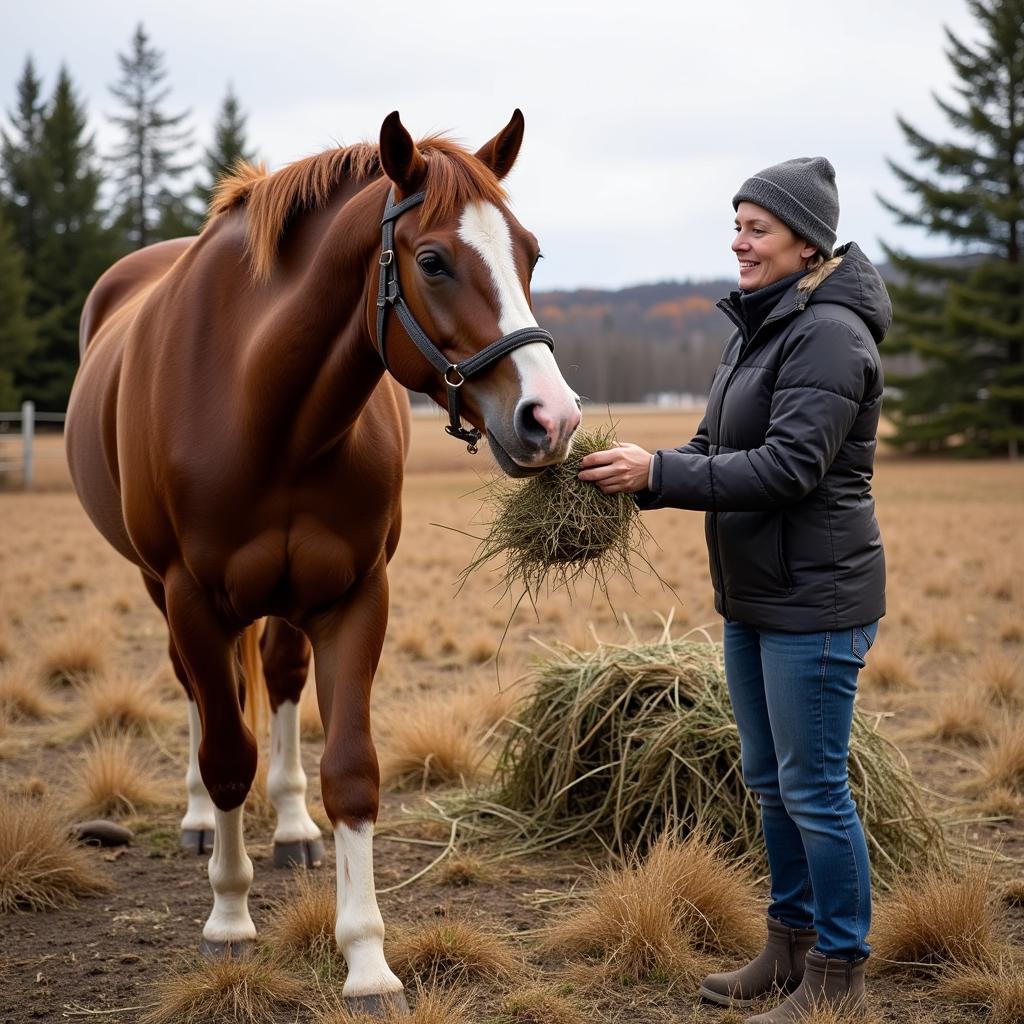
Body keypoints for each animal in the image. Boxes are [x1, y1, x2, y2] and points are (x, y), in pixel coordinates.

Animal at [61, 108, 585, 1011]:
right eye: (433, 260)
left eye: (529, 252)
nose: (550, 418)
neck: (263, 407)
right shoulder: (193, 596)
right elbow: (226, 756)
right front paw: (228, 919)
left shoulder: (354, 597)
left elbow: (351, 771)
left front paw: (368, 962)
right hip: (163, 590)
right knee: (200, 699)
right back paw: (200, 826)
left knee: (273, 678)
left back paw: (293, 826)